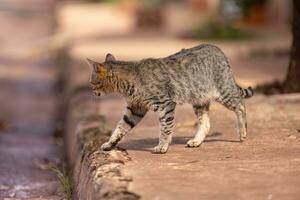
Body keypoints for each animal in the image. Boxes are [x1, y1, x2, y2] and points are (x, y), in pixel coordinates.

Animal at [86, 43, 253, 153]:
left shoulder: (165, 104)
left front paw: (162, 146)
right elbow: (120, 127)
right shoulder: (135, 108)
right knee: (206, 123)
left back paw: (243, 132)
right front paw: (110, 143)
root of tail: (217, 49)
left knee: (241, 105)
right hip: (199, 100)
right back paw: (196, 141)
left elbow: (165, 127)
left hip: (223, 92)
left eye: (91, 82)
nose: (91, 91)